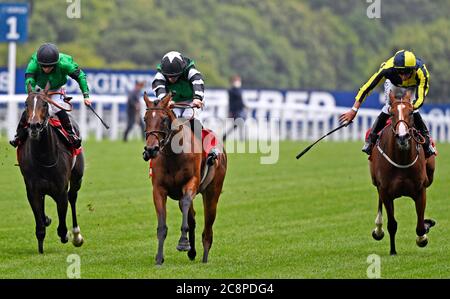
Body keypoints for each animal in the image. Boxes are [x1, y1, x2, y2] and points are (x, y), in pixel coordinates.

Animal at [18, 83, 85, 254]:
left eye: (45, 104)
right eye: (26, 104)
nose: (34, 126)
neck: (44, 156)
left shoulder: (60, 190)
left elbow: (62, 225)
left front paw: (67, 235)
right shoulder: (33, 190)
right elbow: (40, 223)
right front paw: (41, 244)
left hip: (77, 178)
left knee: (72, 197)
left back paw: (76, 235)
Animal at [142, 92, 227, 266]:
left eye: (164, 119)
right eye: (145, 119)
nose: (151, 149)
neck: (173, 155)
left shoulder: (191, 184)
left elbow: (185, 202)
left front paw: (183, 243)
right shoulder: (158, 190)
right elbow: (162, 226)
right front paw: (159, 258)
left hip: (212, 193)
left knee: (208, 228)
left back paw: (204, 258)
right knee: (192, 218)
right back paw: (193, 252)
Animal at [370, 89, 436, 255]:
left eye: (411, 113)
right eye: (392, 113)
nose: (402, 137)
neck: (402, 159)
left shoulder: (420, 190)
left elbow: (420, 226)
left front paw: (423, 234)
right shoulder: (385, 191)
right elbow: (392, 224)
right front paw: (393, 251)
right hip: (376, 183)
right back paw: (378, 229)